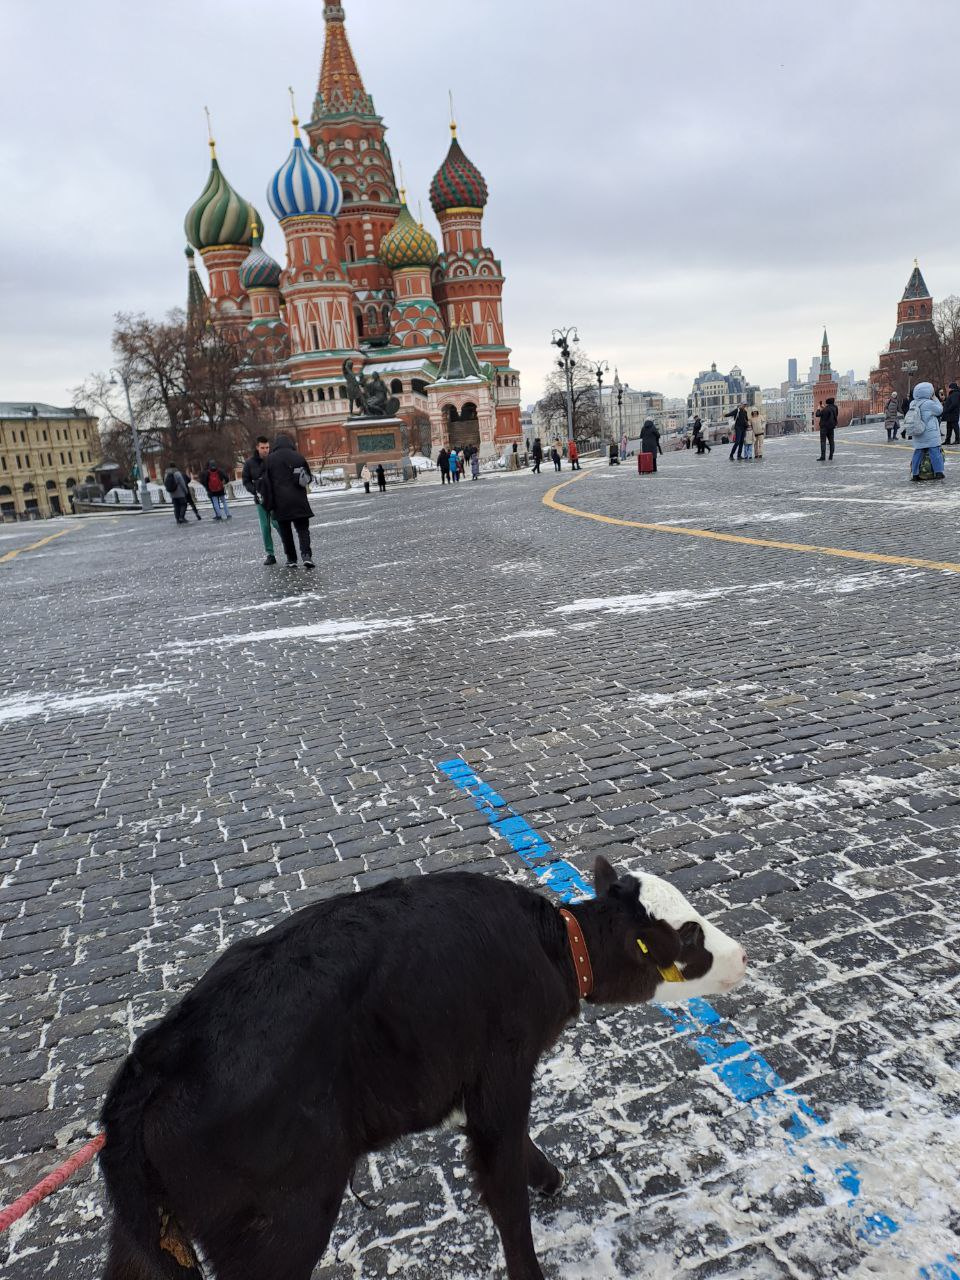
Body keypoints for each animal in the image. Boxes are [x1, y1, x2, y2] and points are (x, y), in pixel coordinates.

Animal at [101, 855, 752, 1280]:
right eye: (690, 937)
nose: (743, 955)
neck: (555, 950)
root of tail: (158, 1055)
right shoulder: (502, 1071)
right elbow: (504, 1189)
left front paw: (549, 1177)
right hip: (282, 1225)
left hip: (148, 1241)